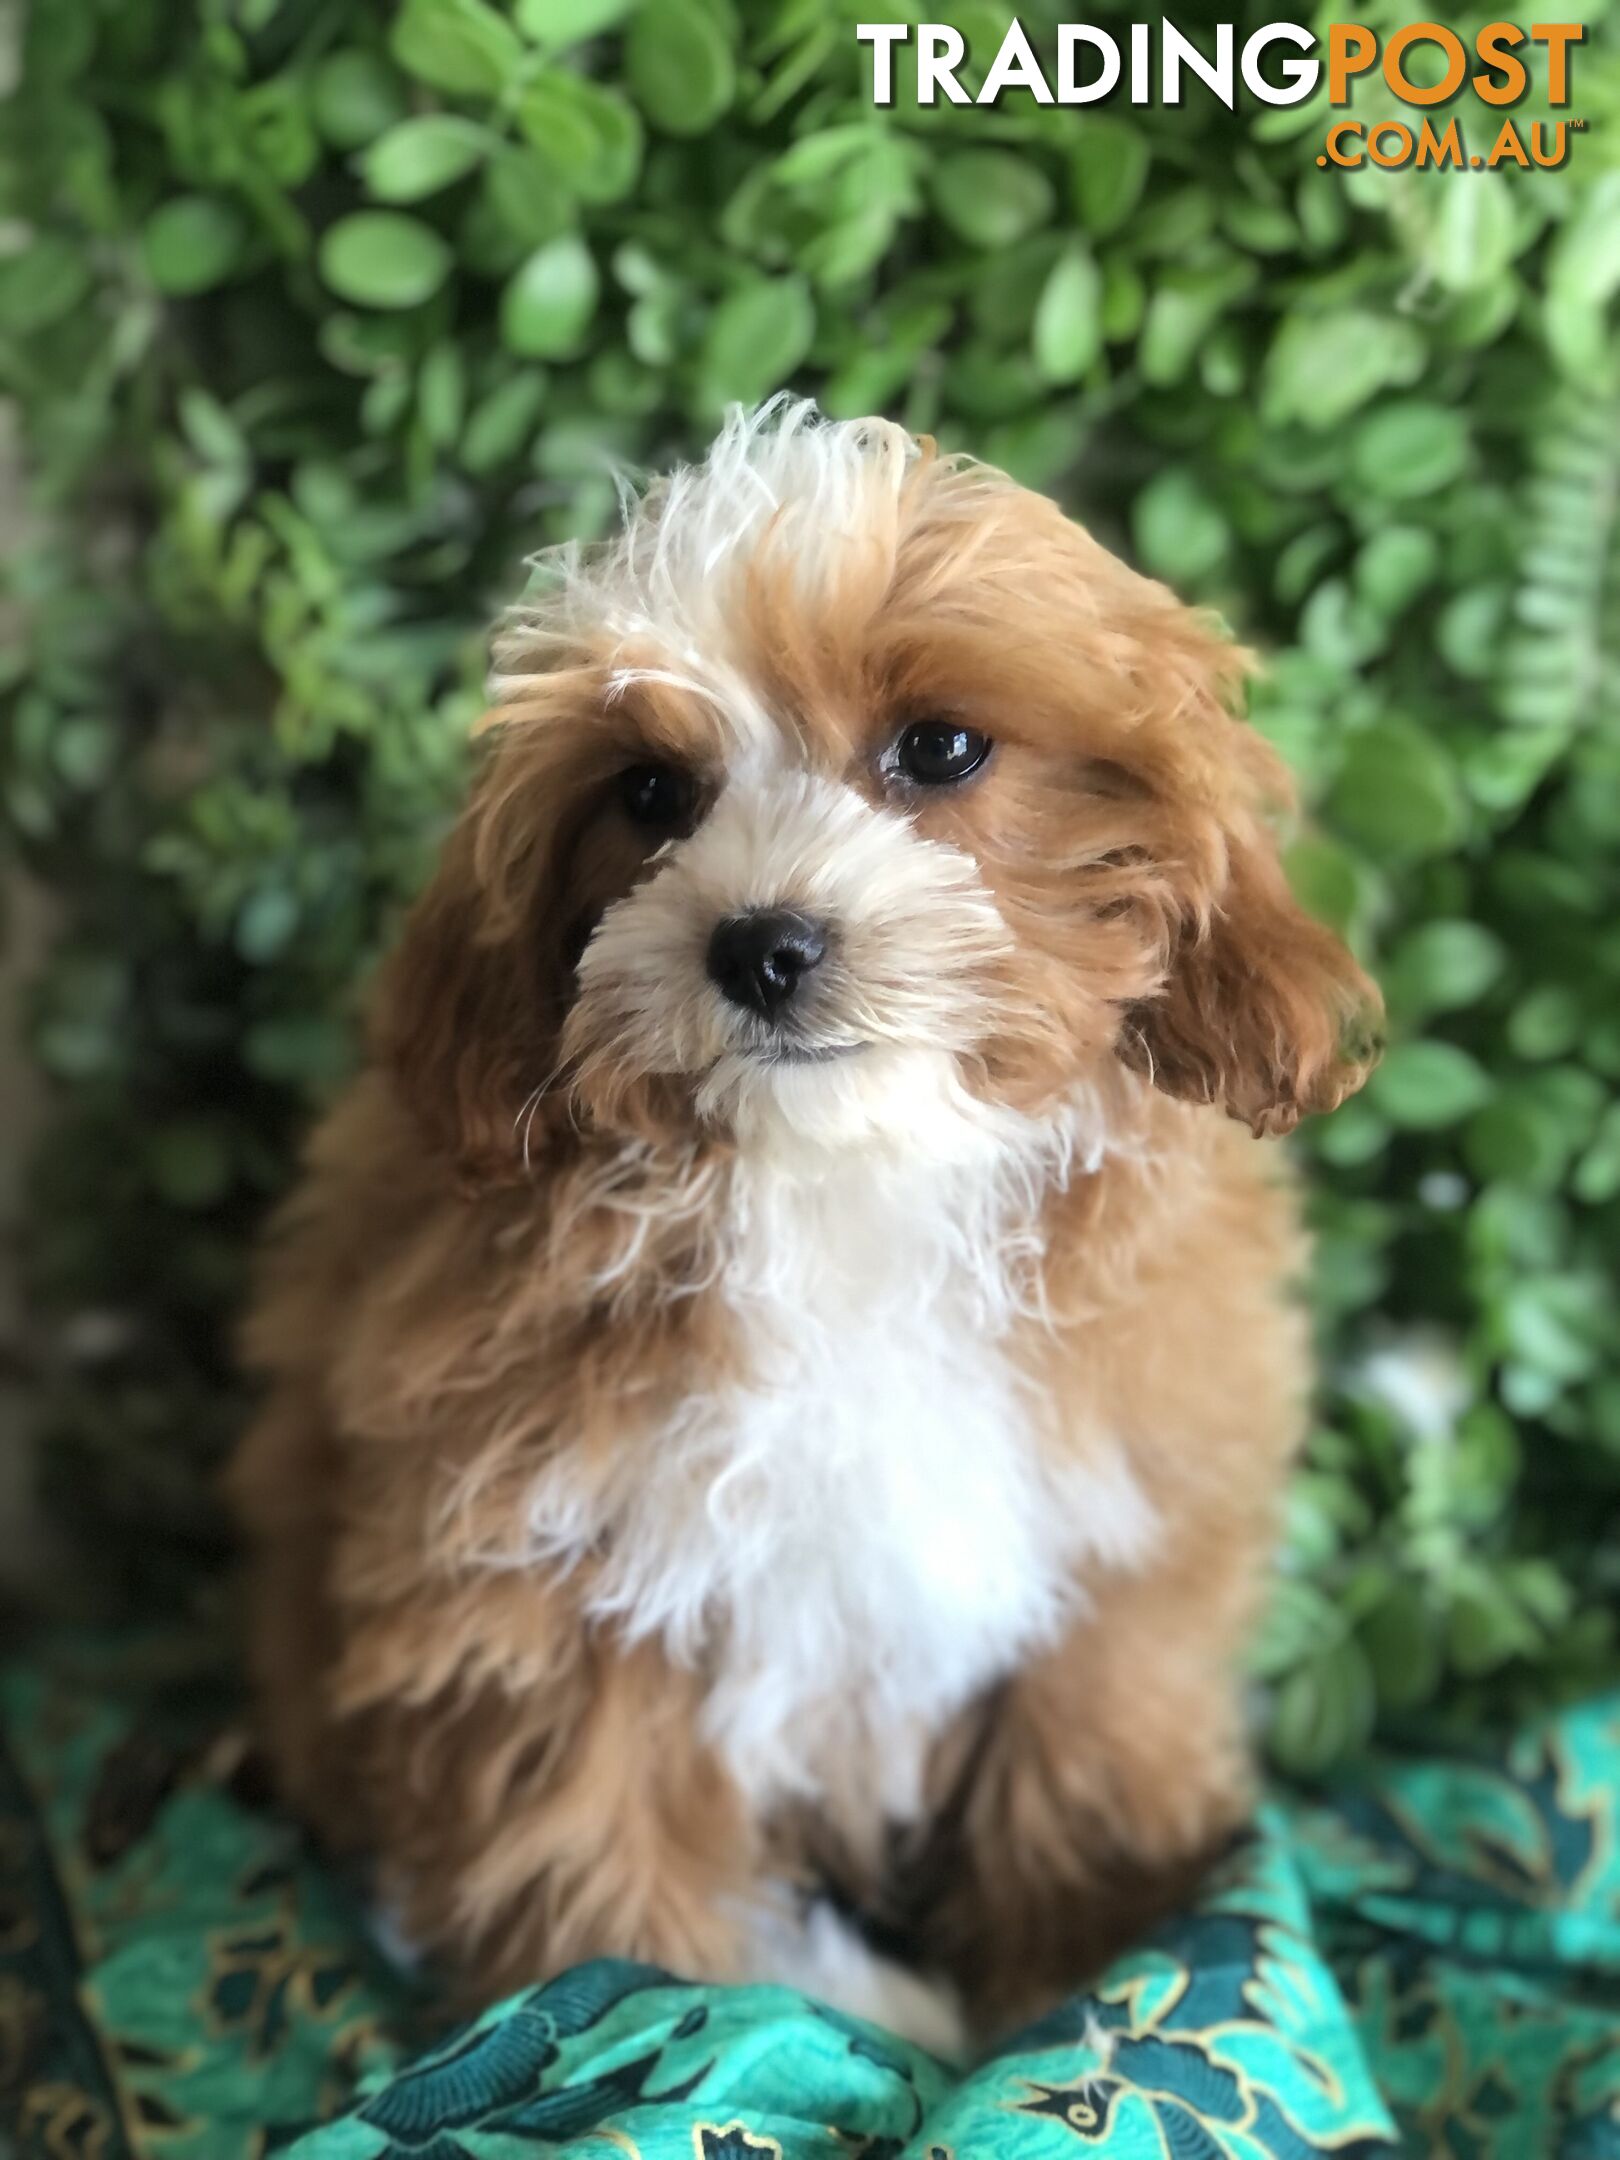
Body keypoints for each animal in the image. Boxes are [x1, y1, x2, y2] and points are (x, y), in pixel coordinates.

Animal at [231, 401, 1382, 2039]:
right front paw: (682, 2017)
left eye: (940, 747)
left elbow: (1091, 1754)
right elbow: (595, 1863)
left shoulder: (1118, 1529)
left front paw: (1081, 1976)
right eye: (650, 793)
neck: (846, 1181)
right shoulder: (547, 1570)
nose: (762, 945)